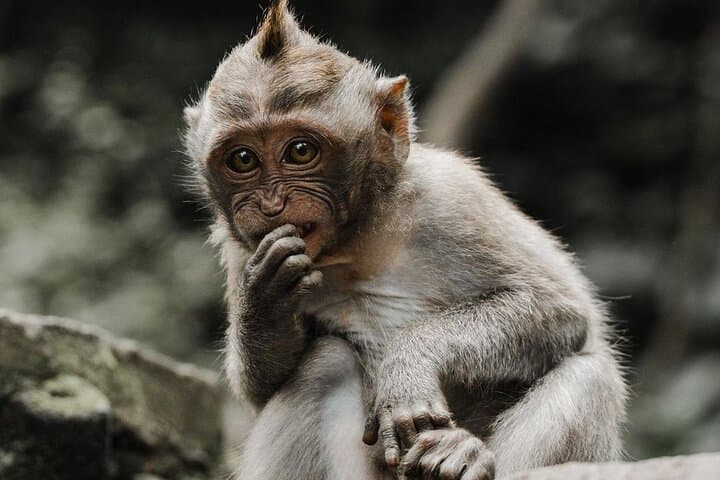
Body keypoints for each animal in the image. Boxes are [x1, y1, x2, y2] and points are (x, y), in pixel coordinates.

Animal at [182, 2, 627, 479]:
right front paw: (265, 299)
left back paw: (460, 455)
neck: (356, 239)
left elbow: (558, 310)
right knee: (325, 363)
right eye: (243, 159)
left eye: (300, 151)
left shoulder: (450, 198)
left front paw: (410, 364)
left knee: (590, 374)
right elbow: (261, 390)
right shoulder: (240, 249)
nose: (271, 204)